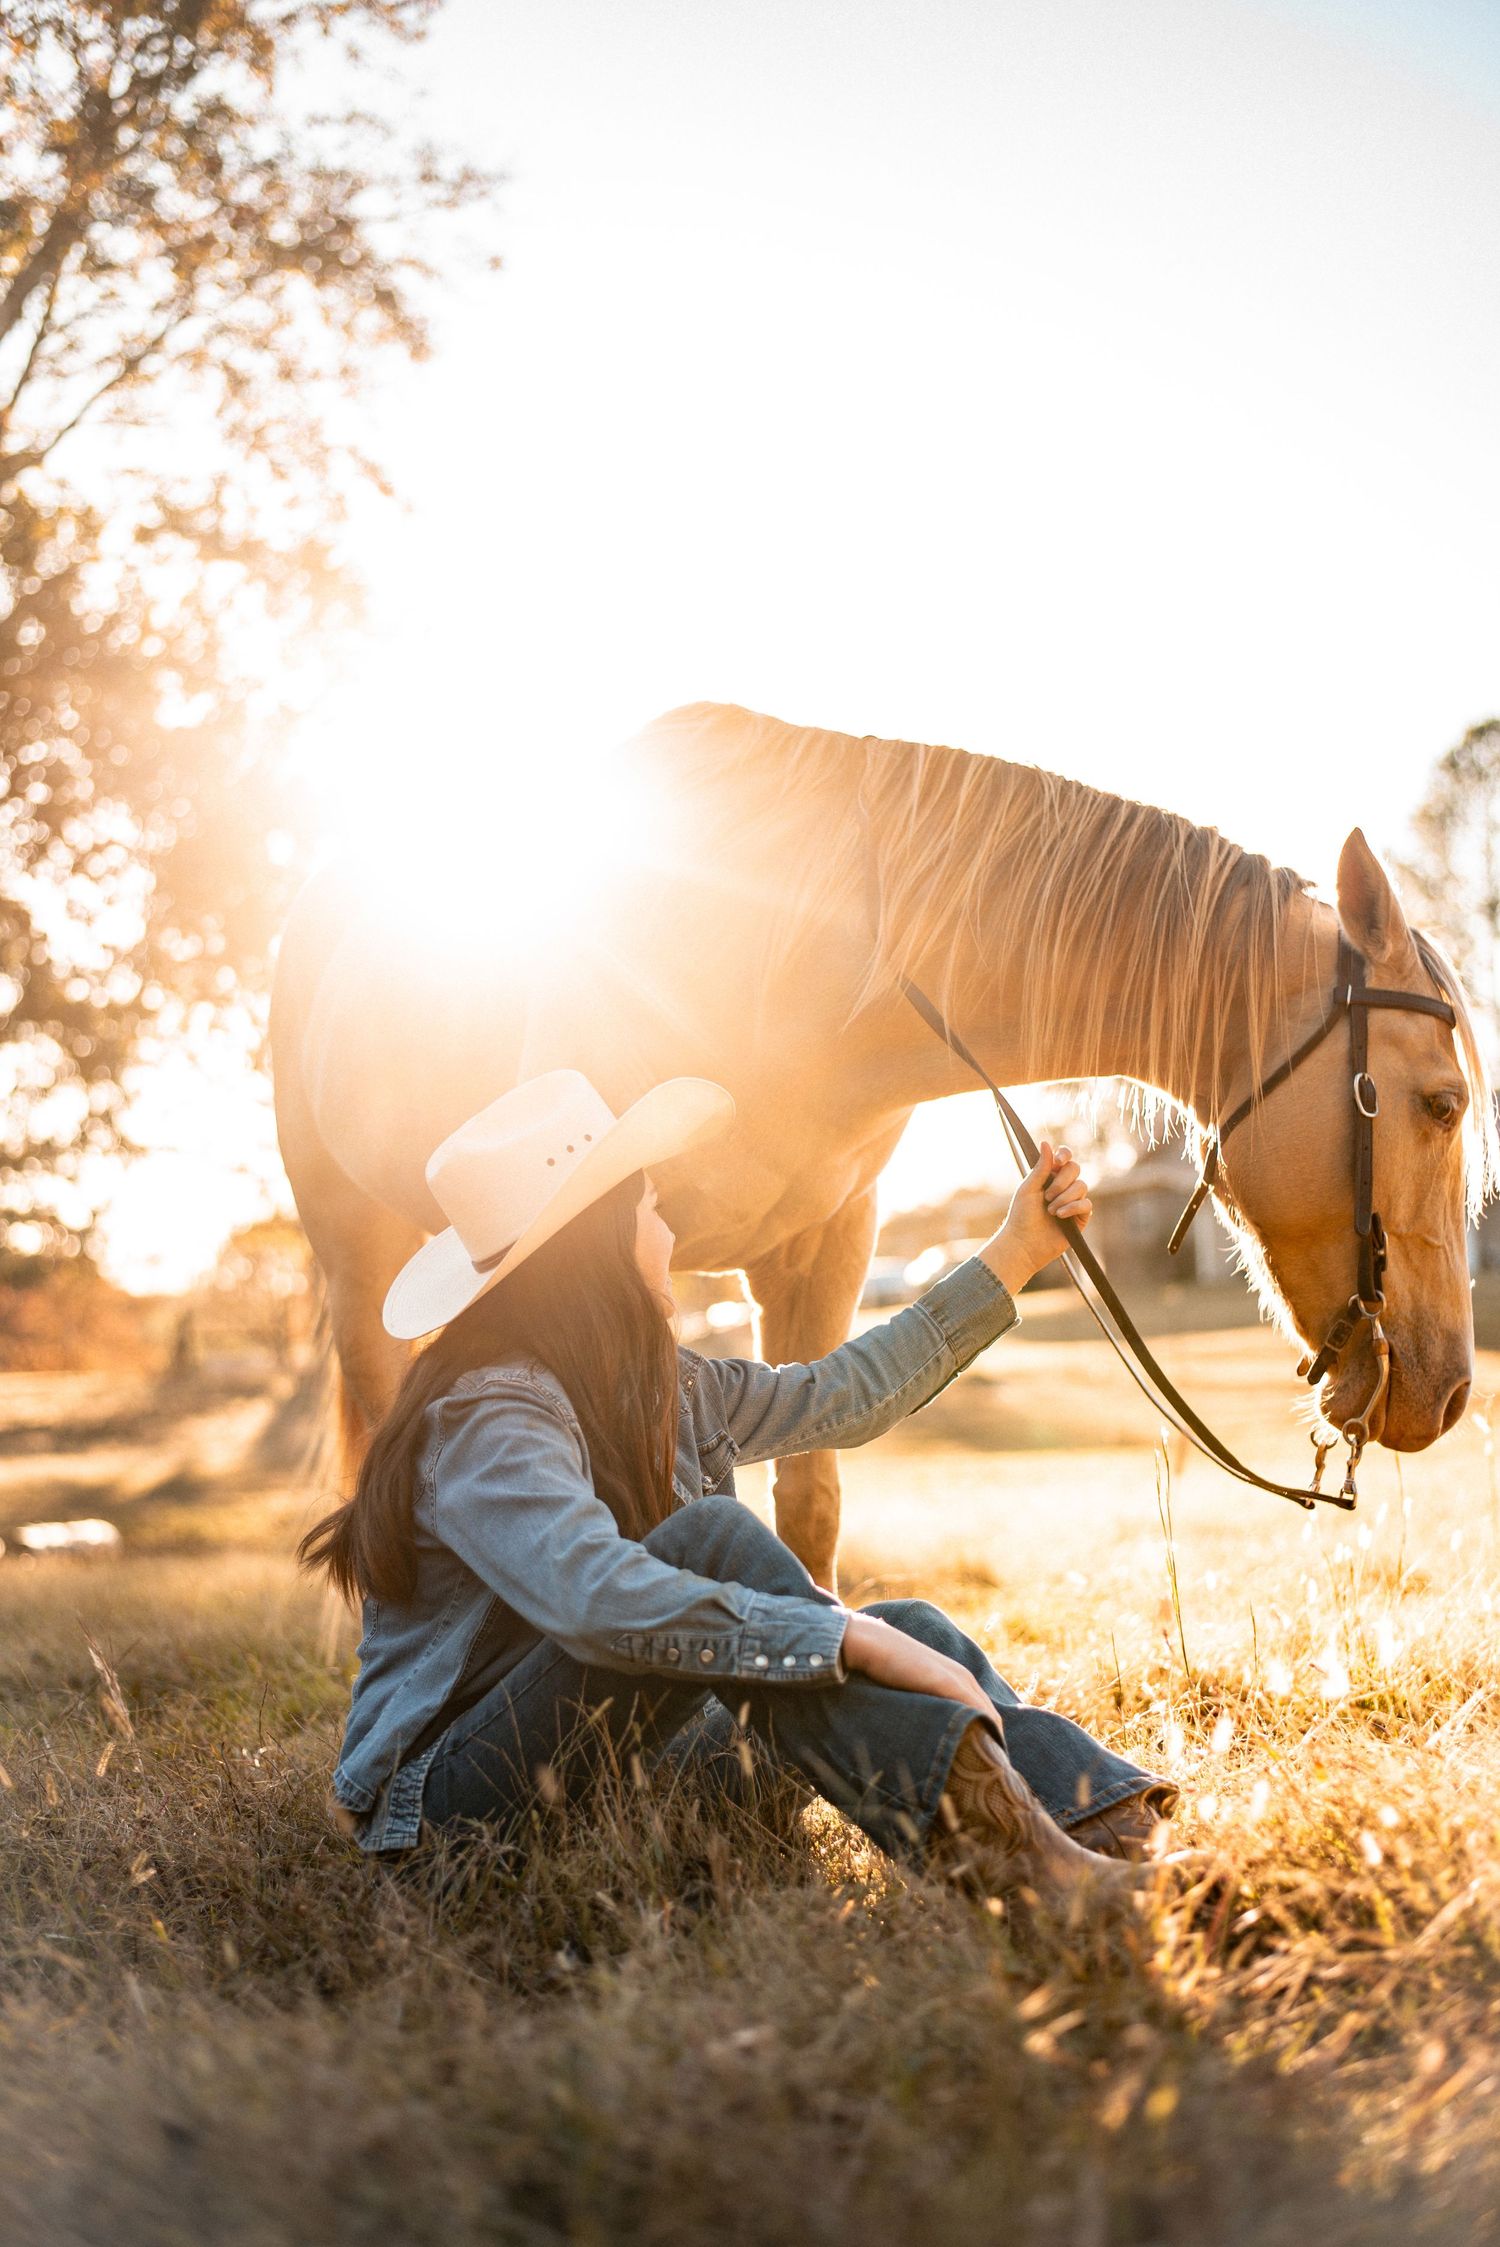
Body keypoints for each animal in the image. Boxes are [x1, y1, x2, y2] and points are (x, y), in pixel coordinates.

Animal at [269, 700, 1495, 1590]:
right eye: (1441, 1104)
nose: (1445, 1395)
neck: (788, 949)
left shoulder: (824, 1252)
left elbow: (808, 1503)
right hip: (356, 1256)